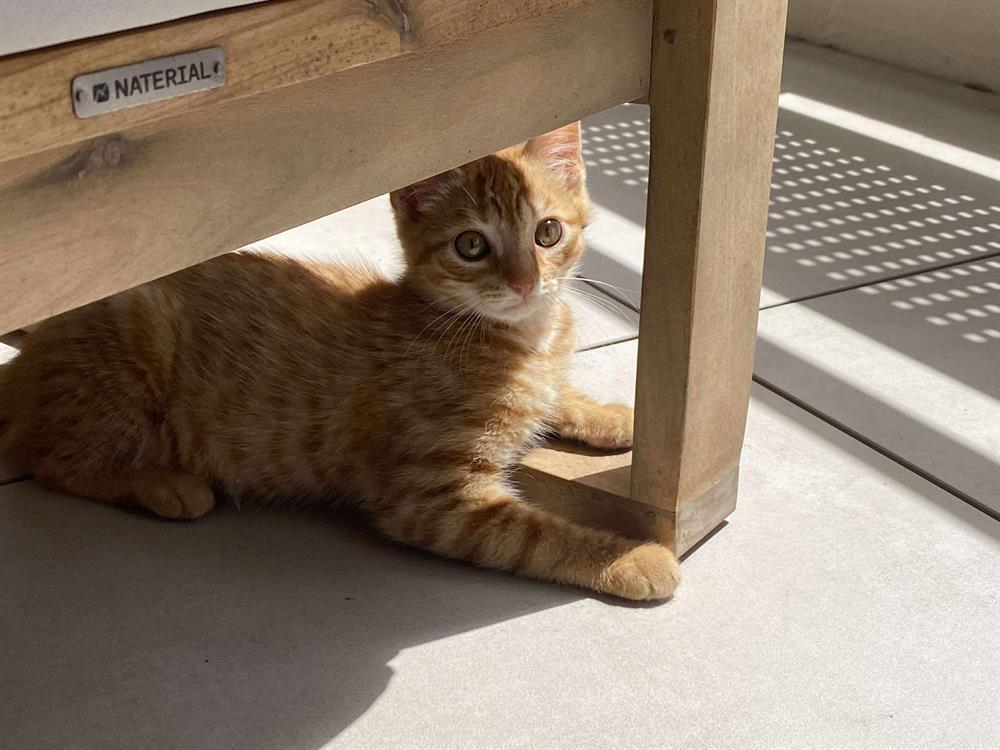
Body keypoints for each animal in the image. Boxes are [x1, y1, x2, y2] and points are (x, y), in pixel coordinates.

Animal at [0, 123, 679, 601]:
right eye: (472, 245)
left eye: (547, 233)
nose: (523, 283)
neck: (520, 340)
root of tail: (38, 348)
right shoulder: (433, 501)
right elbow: (539, 533)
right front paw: (631, 557)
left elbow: (557, 396)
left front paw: (609, 414)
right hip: (137, 338)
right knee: (57, 460)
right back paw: (164, 484)